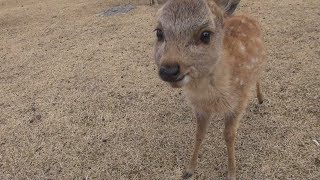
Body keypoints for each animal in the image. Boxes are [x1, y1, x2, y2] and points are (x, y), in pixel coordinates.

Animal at [152, 0, 264, 179]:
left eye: (205, 35)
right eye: (159, 33)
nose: (168, 70)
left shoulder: (238, 103)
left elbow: (229, 136)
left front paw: (232, 173)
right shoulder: (200, 108)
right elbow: (199, 134)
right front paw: (189, 170)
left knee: (258, 77)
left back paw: (260, 98)